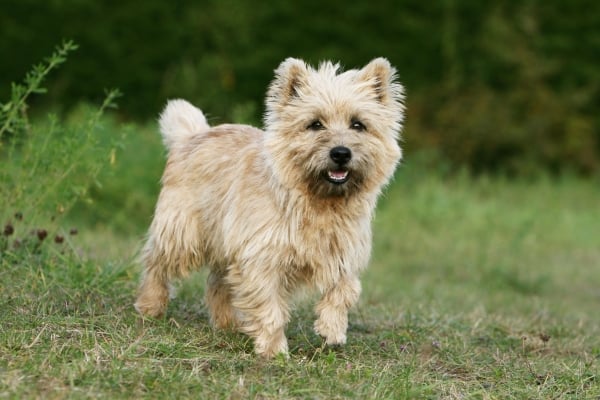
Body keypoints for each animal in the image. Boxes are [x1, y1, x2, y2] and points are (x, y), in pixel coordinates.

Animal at [135, 57, 406, 358]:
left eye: (358, 124)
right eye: (315, 124)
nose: (340, 153)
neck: (319, 203)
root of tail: (192, 135)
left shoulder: (342, 251)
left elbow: (346, 289)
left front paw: (332, 328)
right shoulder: (262, 257)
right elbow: (270, 307)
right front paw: (274, 350)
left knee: (217, 282)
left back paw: (227, 324)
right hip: (183, 232)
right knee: (156, 263)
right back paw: (150, 306)